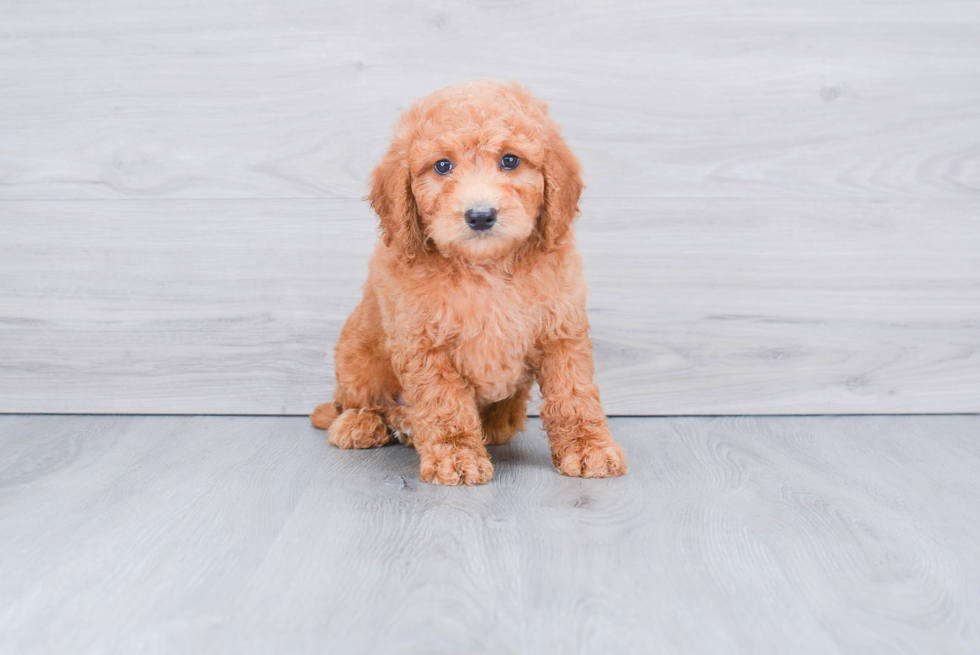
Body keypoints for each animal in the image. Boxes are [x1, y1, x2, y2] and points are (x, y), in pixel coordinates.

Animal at [310, 78, 624, 486]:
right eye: (442, 166)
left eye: (510, 160)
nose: (480, 215)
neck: (485, 266)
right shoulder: (424, 344)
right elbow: (444, 403)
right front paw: (456, 456)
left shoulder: (561, 331)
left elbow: (574, 394)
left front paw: (588, 448)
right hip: (357, 356)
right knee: (356, 402)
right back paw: (366, 423)